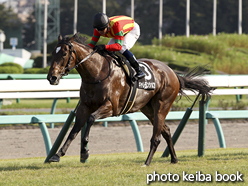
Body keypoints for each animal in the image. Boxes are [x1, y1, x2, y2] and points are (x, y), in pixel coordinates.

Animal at [46, 33, 211, 166]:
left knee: (156, 137)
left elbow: (91, 119)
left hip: (162, 105)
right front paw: (57, 155)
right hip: (148, 109)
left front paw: (85, 152)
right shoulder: (84, 106)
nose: (51, 77)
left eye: (64, 53)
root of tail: (173, 73)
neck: (97, 72)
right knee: (166, 131)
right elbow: (74, 130)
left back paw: (147, 162)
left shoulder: (111, 106)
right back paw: (174, 159)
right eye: (52, 53)